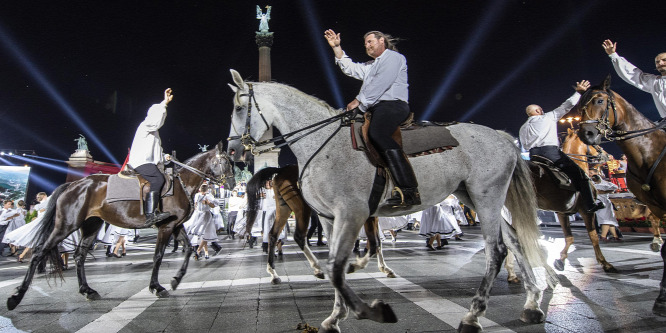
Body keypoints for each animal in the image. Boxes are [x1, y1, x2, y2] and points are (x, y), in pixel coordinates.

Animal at [5, 141, 232, 310]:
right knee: (39, 252)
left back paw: (87, 290)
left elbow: (188, 249)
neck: (182, 183)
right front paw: (156, 287)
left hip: (91, 225)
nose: (229, 185)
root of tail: (73, 184)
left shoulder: (175, 226)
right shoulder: (166, 227)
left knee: (79, 256)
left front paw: (176, 279)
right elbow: (158, 256)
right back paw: (16, 297)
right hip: (66, 225)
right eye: (225, 162)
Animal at [243, 165, 390, 284]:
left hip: (283, 207)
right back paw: (317, 268)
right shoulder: (367, 215)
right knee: (299, 236)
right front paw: (356, 266)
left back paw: (274, 273)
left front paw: (385, 268)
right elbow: (375, 243)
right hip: (302, 208)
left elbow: (377, 242)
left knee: (273, 234)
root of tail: (282, 170)